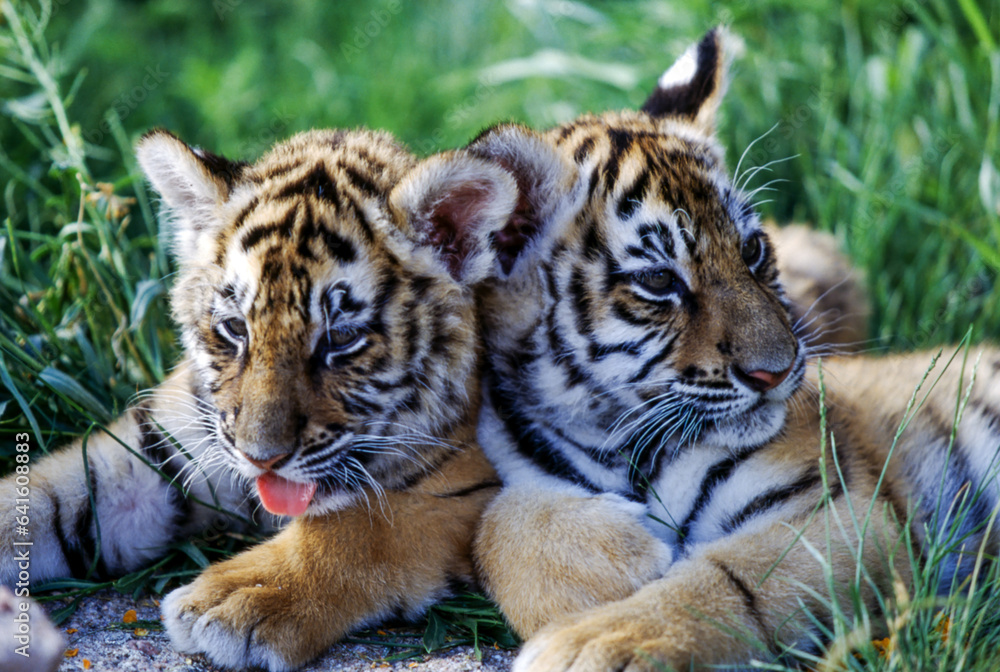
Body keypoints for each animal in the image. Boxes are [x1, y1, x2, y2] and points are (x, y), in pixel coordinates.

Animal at [0, 127, 531, 670]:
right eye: (236, 328)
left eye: (341, 338)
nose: (261, 458)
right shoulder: (152, 451)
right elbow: (39, 498)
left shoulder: (467, 483)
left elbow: (356, 526)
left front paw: (235, 599)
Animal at [468, 28, 1000, 671]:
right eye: (659, 281)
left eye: (751, 249)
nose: (778, 371)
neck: (620, 443)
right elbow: (489, 529)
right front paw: (615, 562)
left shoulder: (840, 510)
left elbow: (727, 582)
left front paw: (592, 643)